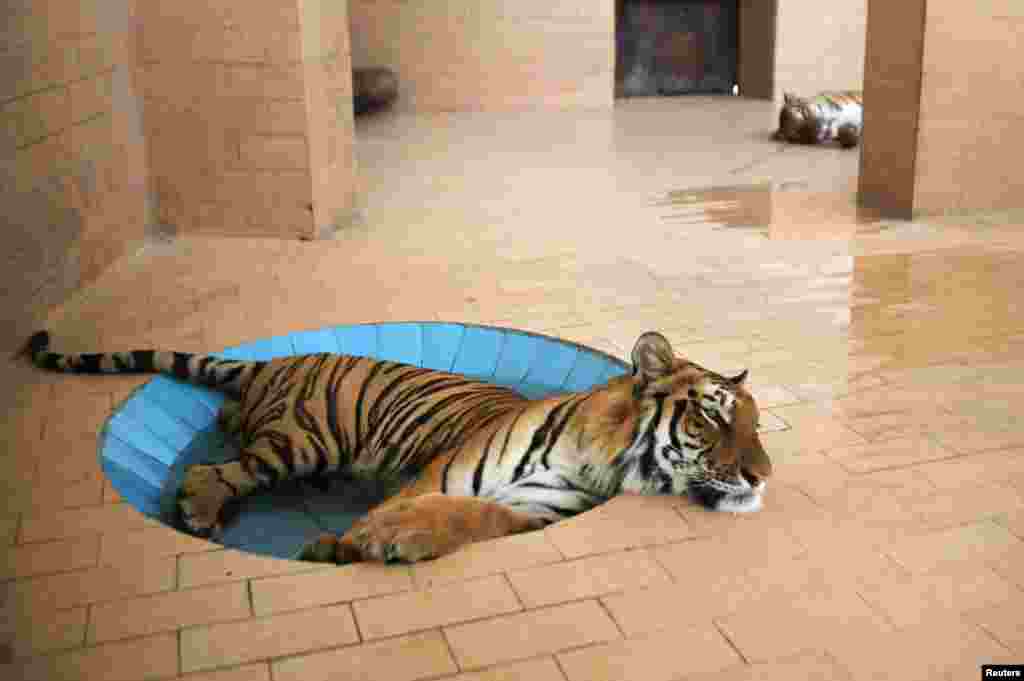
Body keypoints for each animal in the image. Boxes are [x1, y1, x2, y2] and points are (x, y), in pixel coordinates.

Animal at [24, 329, 772, 564]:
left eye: (758, 425)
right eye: (715, 416)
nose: (763, 475)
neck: (599, 458)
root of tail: (271, 361)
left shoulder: (531, 509)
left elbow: (470, 516)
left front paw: (396, 540)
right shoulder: (441, 472)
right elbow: (401, 505)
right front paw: (345, 545)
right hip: (305, 437)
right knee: (220, 468)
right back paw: (203, 509)